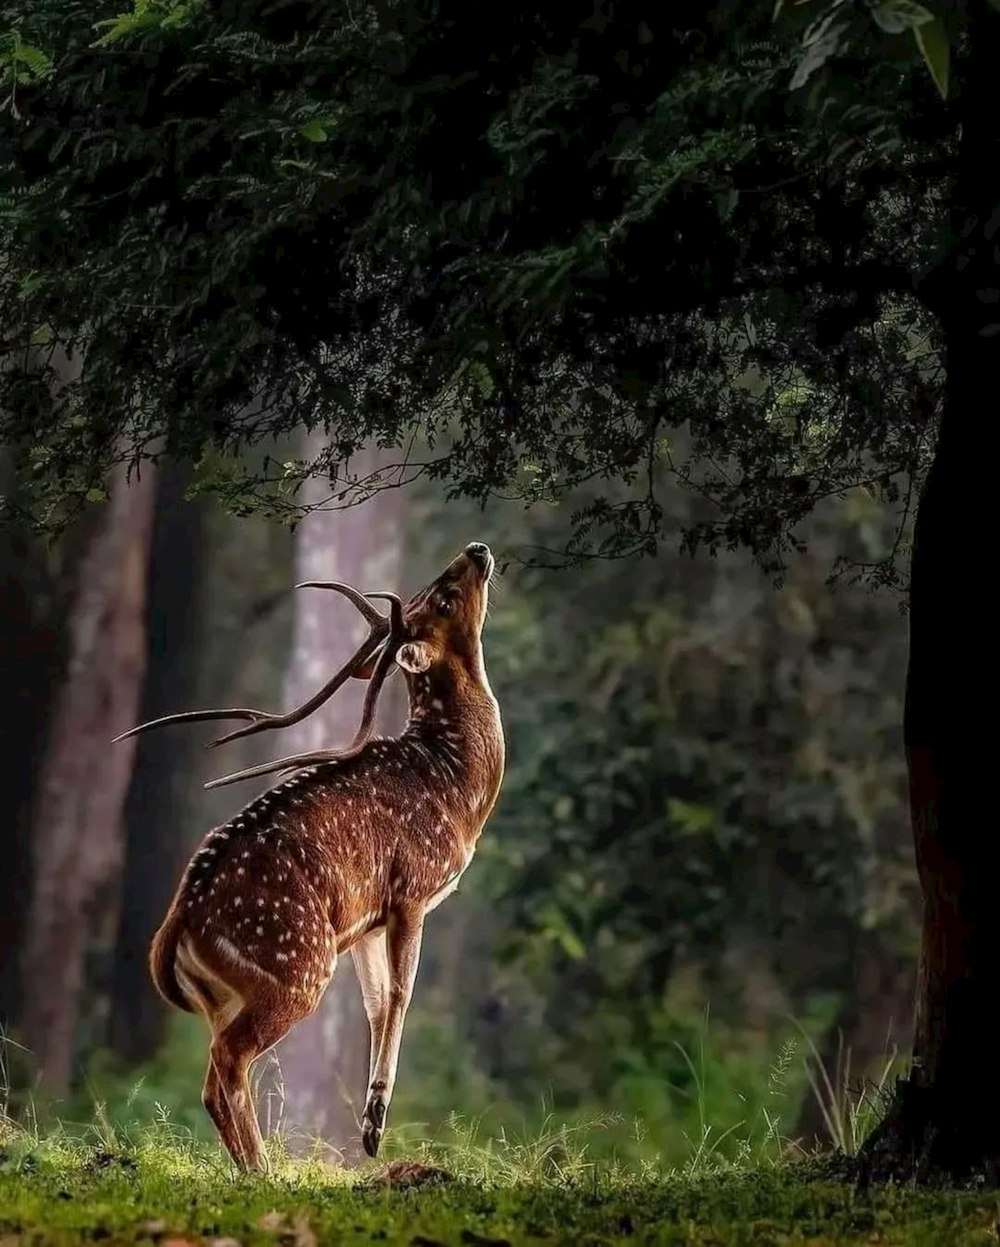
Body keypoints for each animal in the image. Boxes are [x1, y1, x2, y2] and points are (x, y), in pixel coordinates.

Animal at [117, 543, 503, 1167]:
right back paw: (264, 1168)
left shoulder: (368, 921)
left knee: (211, 1079)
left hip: (227, 994)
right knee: (230, 1060)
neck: (456, 787)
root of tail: (181, 919)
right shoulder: (412, 887)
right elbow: (402, 995)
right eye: (443, 596)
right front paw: (374, 1127)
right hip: (297, 965)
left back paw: (249, 1166)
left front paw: (370, 1125)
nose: (477, 549)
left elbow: (376, 1005)